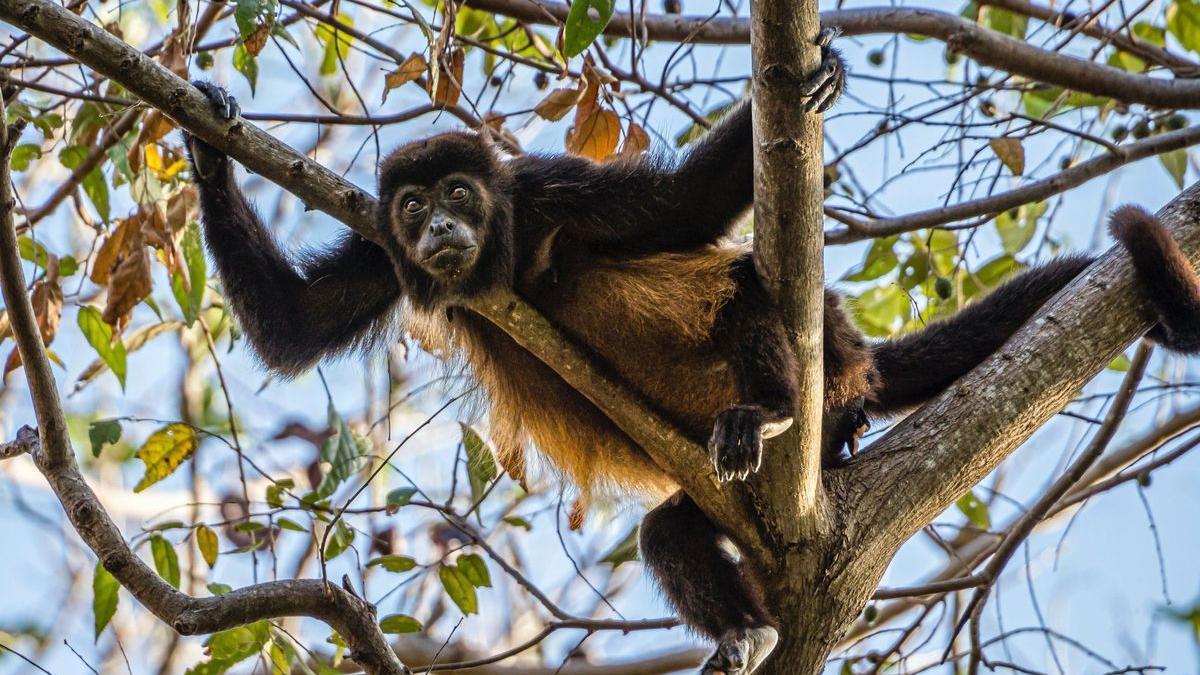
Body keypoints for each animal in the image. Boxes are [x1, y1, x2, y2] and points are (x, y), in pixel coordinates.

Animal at [182, 35, 1200, 672]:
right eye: (411, 205)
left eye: (462, 194)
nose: (437, 227)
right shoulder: (381, 256)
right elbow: (295, 325)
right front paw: (203, 140)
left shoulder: (550, 190)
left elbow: (682, 210)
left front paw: (819, 76)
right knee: (667, 533)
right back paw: (744, 632)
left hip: (827, 372)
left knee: (750, 286)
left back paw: (776, 408)